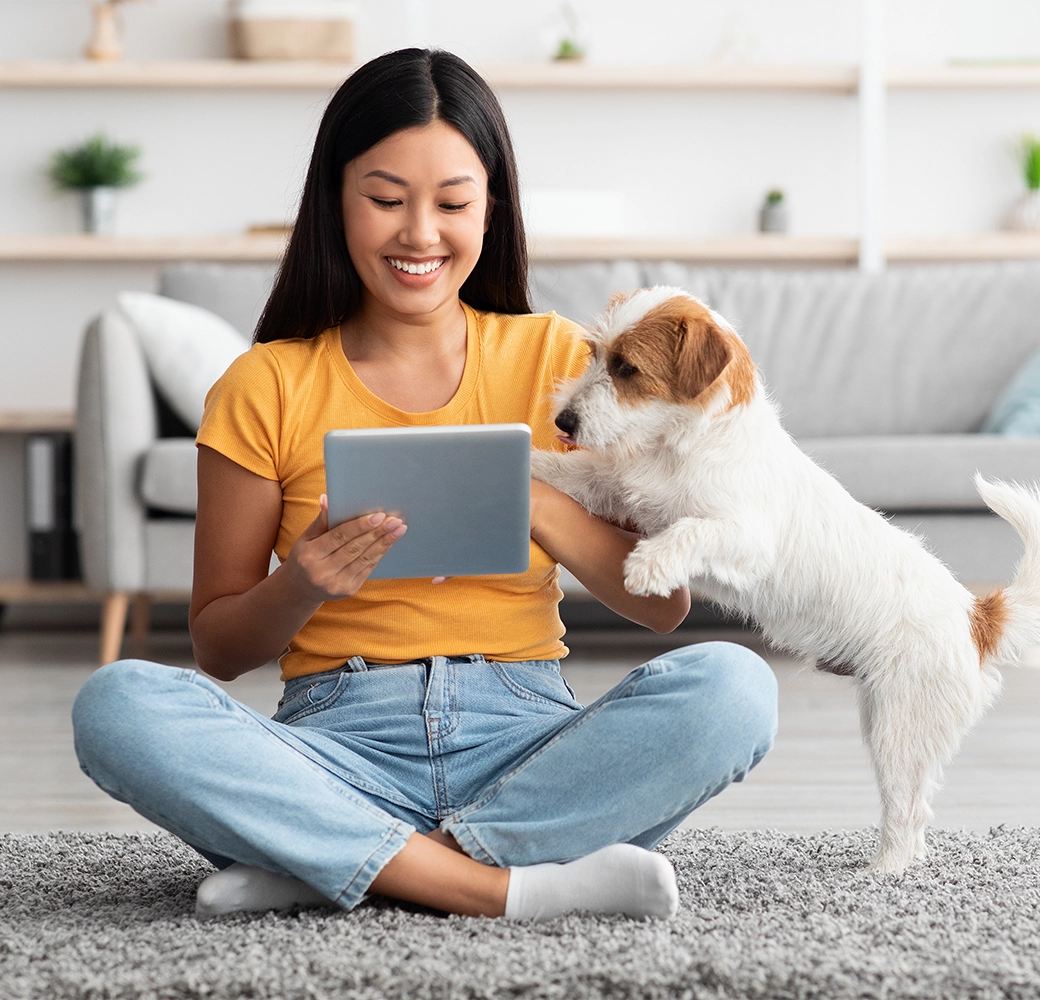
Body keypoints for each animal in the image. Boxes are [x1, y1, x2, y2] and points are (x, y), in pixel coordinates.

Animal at [532, 284, 1040, 869]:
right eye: (594, 354)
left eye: (627, 368)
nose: (563, 421)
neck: (681, 446)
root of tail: (976, 616)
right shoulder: (613, 489)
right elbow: (565, 474)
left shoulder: (743, 537)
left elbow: (691, 531)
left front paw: (648, 564)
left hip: (900, 732)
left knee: (909, 814)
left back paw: (882, 874)